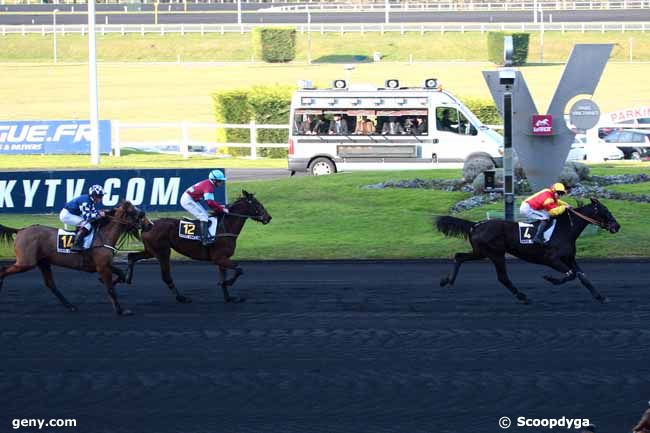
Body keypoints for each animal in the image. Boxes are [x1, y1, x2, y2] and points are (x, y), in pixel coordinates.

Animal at [0, 201, 149, 316]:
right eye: (134, 211)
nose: (149, 224)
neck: (102, 235)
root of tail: (20, 230)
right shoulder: (102, 266)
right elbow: (111, 289)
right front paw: (120, 311)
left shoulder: (104, 264)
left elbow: (120, 274)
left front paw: (113, 281)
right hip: (26, 263)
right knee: (4, 270)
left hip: (43, 263)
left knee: (50, 284)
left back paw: (70, 306)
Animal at [125, 189, 270, 304]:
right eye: (257, 204)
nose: (268, 217)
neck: (226, 227)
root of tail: (147, 225)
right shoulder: (219, 258)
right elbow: (239, 269)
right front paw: (227, 283)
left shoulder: (222, 258)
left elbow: (224, 275)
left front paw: (229, 297)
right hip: (163, 251)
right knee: (166, 276)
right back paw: (181, 298)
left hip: (150, 250)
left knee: (132, 256)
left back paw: (127, 279)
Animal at [432, 199, 620, 304]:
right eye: (605, 211)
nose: (617, 226)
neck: (565, 229)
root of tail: (476, 225)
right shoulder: (552, 259)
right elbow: (571, 274)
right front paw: (550, 279)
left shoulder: (569, 258)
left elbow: (582, 277)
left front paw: (600, 297)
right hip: (496, 254)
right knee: (502, 277)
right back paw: (523, 296)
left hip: (481, 252)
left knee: (459, 257)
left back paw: (447, 280)